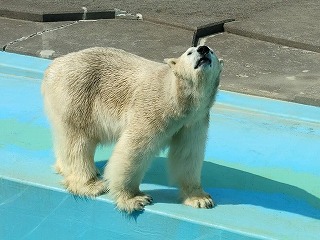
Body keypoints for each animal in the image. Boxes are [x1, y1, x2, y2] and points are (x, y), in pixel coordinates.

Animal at [41, 45, 224, 212]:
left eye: (212, 51)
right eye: (189, 52)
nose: (203, 49)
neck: (177, 97)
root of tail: (52, 67)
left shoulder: (194, 120)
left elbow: (187, 155)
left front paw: (200, 198)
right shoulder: (154, 109)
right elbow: (134, 150)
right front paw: (134, 198)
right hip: (76, 95)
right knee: (78, 141)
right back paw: (91, 185)